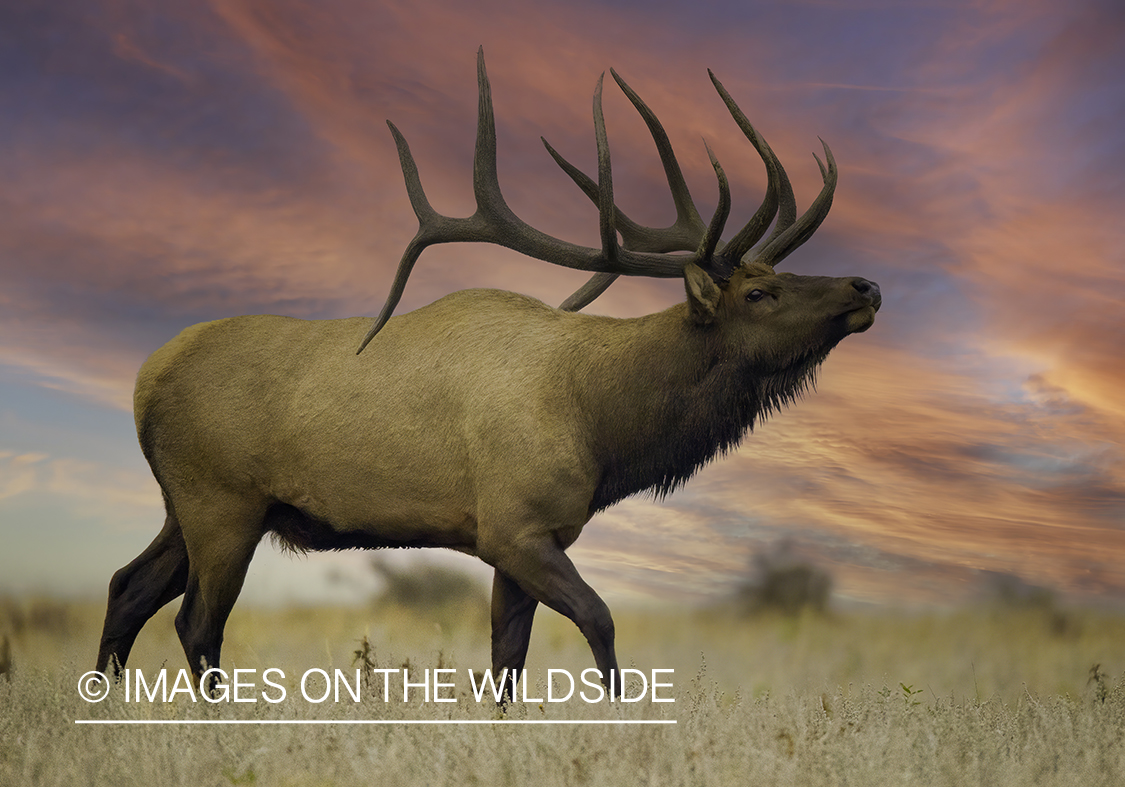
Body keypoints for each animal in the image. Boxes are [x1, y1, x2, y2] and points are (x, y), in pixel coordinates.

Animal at [96, 47, 877, 692]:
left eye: (782, 274)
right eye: (757, 293)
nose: (864, 287)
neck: (603, 427)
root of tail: (144, 380)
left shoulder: (524, 540)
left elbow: (507, 656)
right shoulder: (515, 526)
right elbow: (598, 620)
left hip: (188, 505)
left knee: (126, 587)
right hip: (221, 503)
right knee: (196, 621)